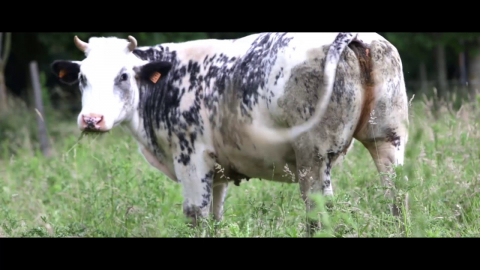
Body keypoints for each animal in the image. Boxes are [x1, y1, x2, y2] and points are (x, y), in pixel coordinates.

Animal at [49, 32, 408, 233]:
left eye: (123, 75)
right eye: (82, 77)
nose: (92, 119)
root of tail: (353, 37)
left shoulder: (191, 159)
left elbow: (196, 216)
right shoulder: (218, 170)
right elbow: (215, 218)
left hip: (314, 157)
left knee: (318, 213)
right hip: (388, 139)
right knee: (397, 197)